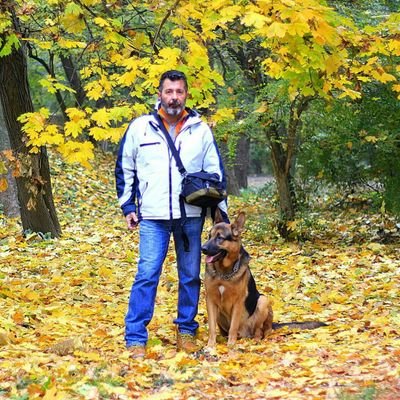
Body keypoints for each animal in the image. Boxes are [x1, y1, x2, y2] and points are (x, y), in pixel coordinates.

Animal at [202, 212, 326, 346]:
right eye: (209, 236)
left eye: (220, 238)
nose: (203, 249)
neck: (223, 274)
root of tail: (245, 335)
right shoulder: (210, 300)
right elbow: (212, 327)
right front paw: (211, 345)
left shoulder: (238, 302)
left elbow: (233, 326)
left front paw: (231, 345)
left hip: (263, 301)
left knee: (262, 331)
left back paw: (256, 341)